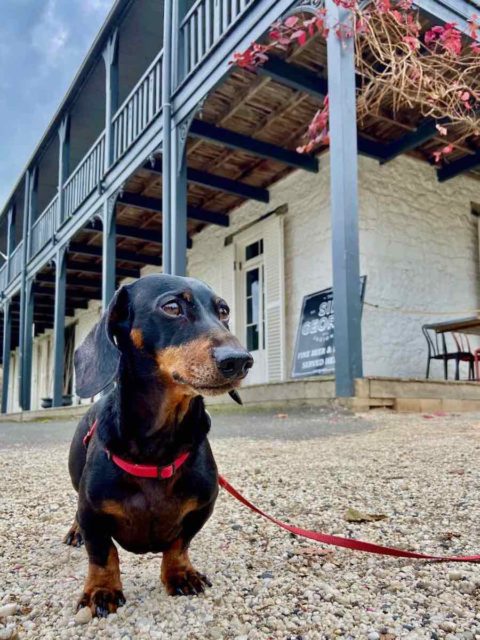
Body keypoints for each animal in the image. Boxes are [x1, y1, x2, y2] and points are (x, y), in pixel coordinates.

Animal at [65, 274, 253, 616]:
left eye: (223, 311)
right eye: (172, 307)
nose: (240, 361)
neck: (158, 446)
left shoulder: (202, 507)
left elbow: (179, 543)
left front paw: (180, 574)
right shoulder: (92, 513)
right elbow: (102, 552)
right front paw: (102, 589)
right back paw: (75, 532)